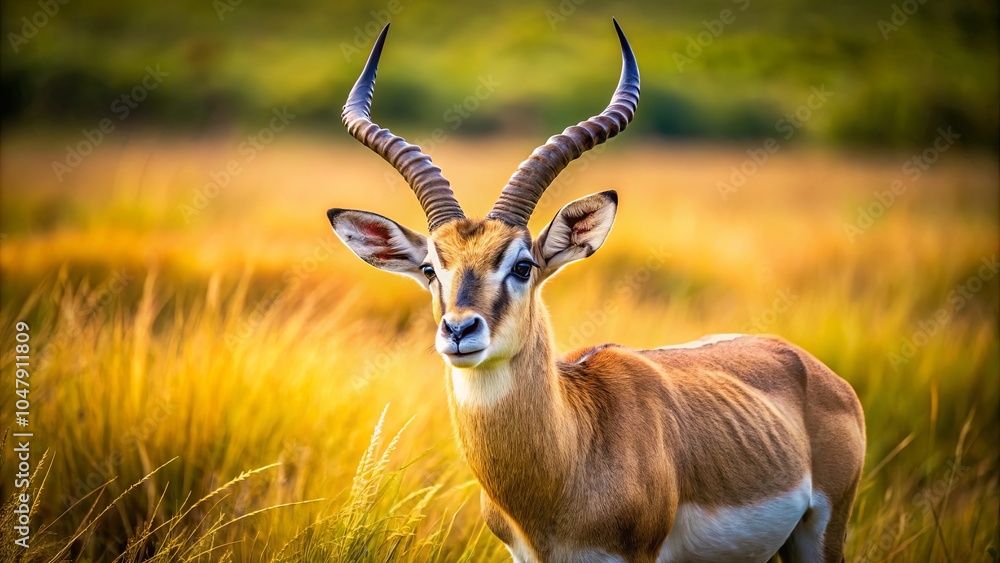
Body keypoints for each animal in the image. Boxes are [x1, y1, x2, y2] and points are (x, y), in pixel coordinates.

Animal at [328, 19, 865, 563]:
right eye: (430, 269)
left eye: (522, 266)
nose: (459, 331)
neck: (571, 455)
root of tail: (812, 366)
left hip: (822, 535)